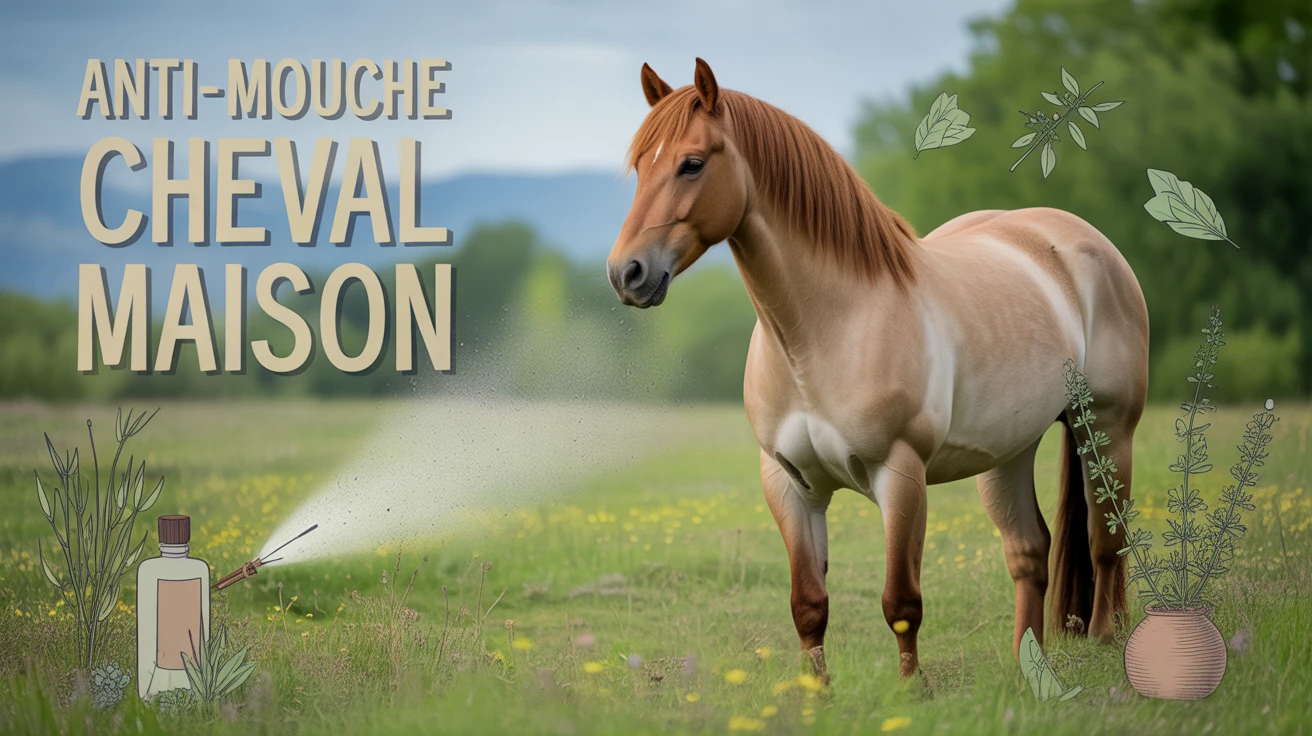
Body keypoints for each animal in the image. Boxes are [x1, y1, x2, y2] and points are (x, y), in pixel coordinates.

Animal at [607, 58, 1149, 680]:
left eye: (692, 163)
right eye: (640, 166)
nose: (626, 273)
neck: (825, 332)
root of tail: (1076, 237)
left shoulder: (900, 474)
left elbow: (901, 602)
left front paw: (913, 689)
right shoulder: (787, 484)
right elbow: (808, 603)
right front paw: (816, 691)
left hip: (1105, 429)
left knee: (1106, 542)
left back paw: (1104, 642)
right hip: (1009, 451)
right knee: (1030, 550)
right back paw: (1026, 668)